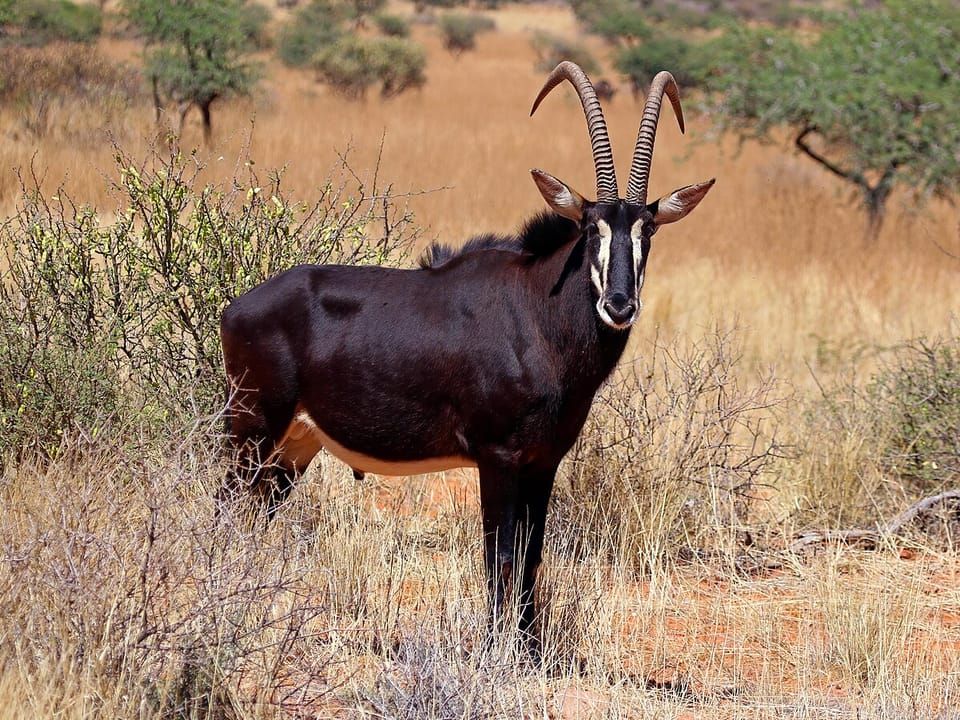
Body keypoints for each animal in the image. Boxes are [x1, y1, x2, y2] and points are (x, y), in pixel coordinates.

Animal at [219, 61, 714, 640]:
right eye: (592, 228)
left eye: (647, 230)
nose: (619, 304)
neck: (537, 314)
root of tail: (237, 307)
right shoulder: (498, 457)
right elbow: (500, 557)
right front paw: (498, 648)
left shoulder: (543, 460)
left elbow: (531, 557)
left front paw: (528, 648)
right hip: (252, 426)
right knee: (228, 507)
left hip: (293, 445)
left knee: (256, 513)